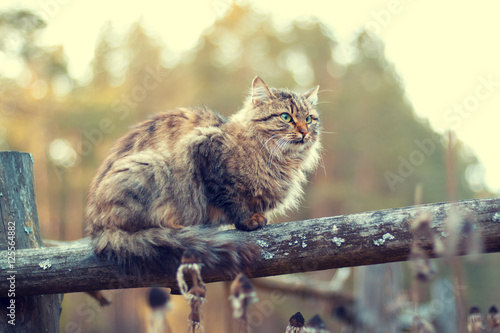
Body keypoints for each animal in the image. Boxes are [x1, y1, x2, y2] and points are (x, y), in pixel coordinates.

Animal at [86, 76, 320, 274]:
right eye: (286, 117)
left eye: (309, 119)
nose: (304, 132)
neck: (280, 160)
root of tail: (97, 230)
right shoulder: (204, 150)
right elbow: (231, 199)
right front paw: (248, 220)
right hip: (150, 166)